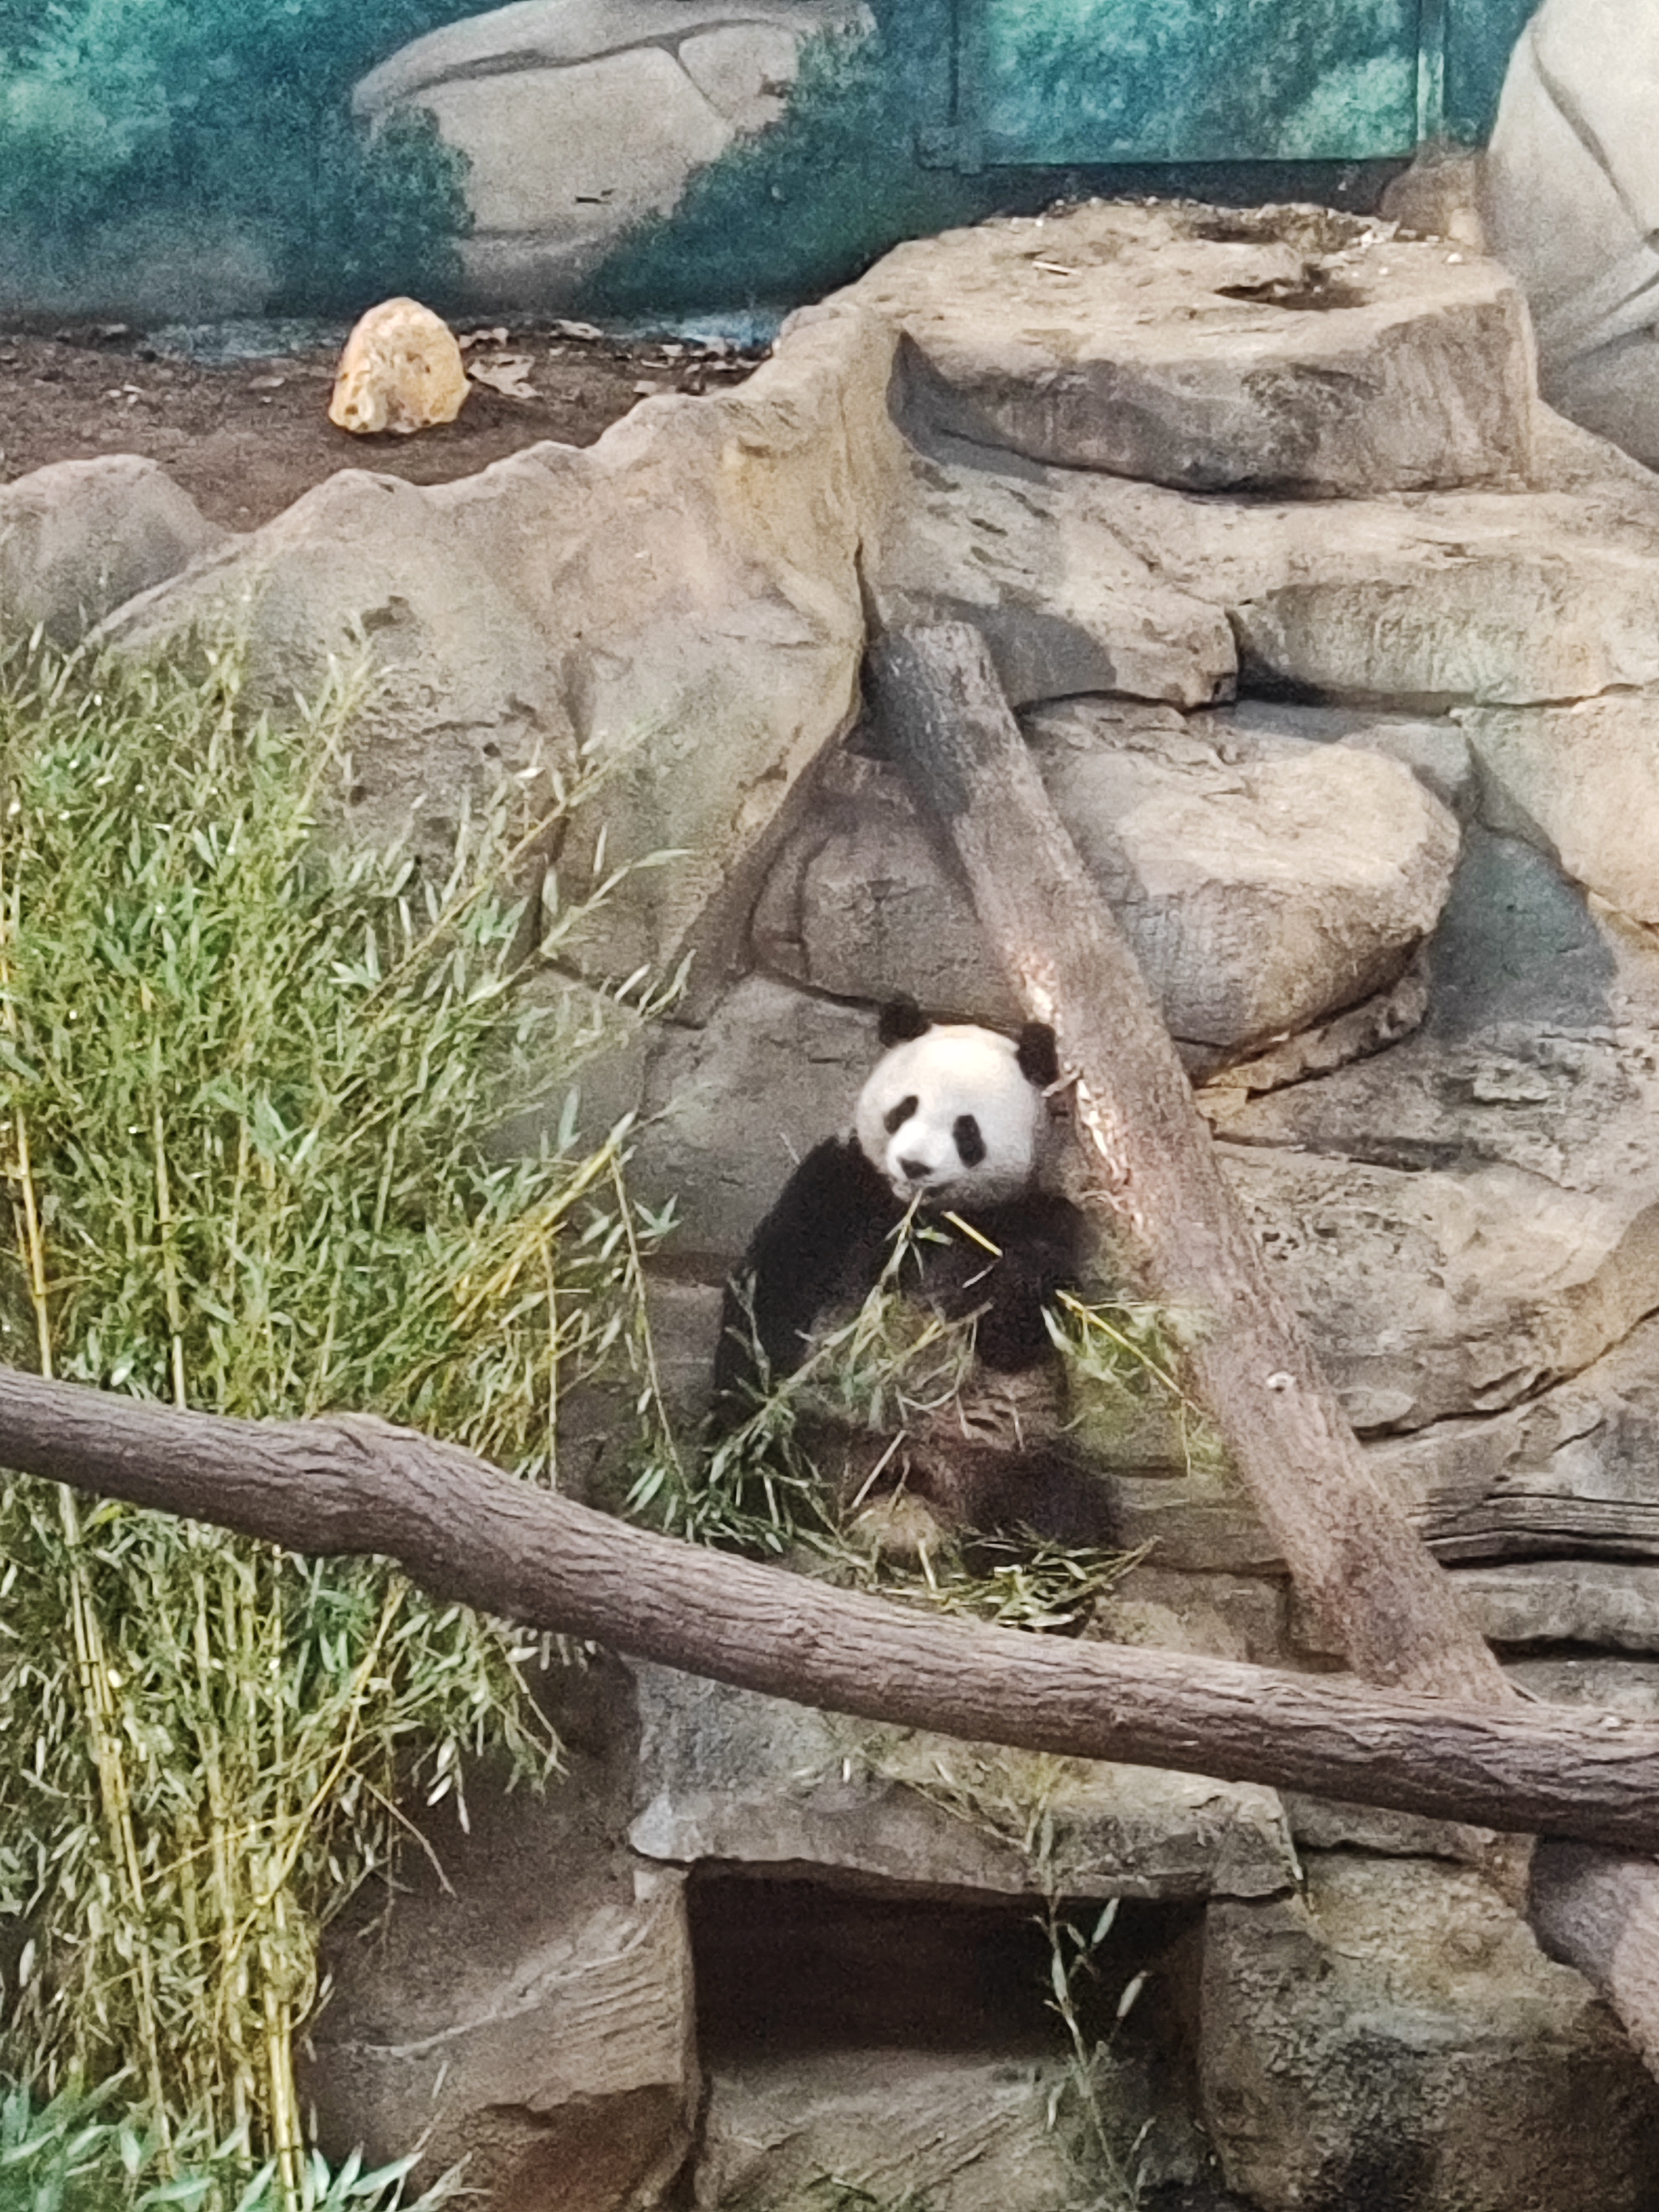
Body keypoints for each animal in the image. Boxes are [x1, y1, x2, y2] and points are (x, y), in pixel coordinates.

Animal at [710, 999, 1116, 1552]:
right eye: (905, 1109)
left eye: (967, 1131)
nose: (914, 1165)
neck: (921, 1214)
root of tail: (908, 1483)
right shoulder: (839, 1185)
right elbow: (777, 1285)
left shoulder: (1031, 1216)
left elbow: (1016, 1334)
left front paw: (1008, 1282)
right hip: (814, 1435)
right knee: (757, 1462)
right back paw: (741, 1521)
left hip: (1010, 1452)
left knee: (1062, 1510)